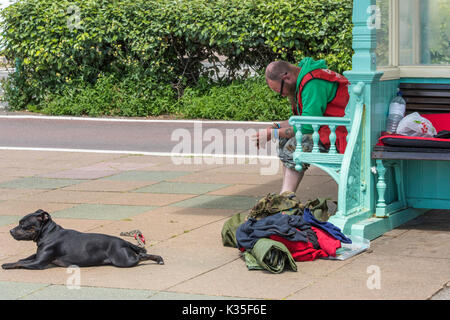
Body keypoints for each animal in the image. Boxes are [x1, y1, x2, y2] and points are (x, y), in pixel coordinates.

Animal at [1, 209, 163, 268]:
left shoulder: (39, 262)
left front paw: (7, 265)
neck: (48, 233)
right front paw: (20, 259)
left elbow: (20, 263)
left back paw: (157, 259)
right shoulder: (38, 255)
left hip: (123, 260)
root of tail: (124, 242)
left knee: (141, 257)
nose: (10, 230)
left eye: (23, 225)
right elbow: (26, 258)